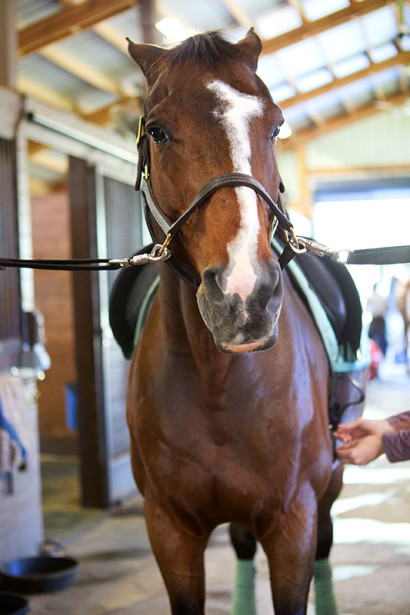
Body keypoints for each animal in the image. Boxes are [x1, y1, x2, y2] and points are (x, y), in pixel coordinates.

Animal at [125, 30, 366, 615]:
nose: (245, 296)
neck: (218, 381)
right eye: (158, 131)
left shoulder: (293, 522)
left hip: (330, 487)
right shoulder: (169, 530)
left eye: (276, 126)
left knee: (326, 545)